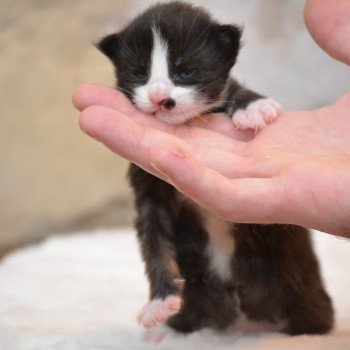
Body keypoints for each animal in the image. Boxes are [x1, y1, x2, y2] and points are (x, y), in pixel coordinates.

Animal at [98, 2, 334, 336]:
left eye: (186, 71)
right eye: (138, 73)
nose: (159, 98)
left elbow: (234, 88)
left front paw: (252, 105)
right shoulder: (150, 192)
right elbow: (155, 244)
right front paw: (160, 301)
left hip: (303, 290)